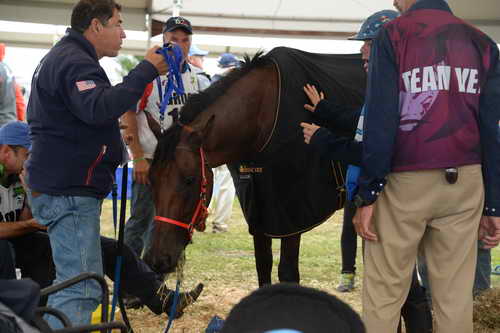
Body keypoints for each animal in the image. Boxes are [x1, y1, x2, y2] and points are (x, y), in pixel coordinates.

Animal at [143, 46, 366, 286]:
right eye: (151, 180)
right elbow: (263, 265)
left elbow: (287, 273)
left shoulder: (292, 215)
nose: (157, 259)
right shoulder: (259, 208)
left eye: (189, 180)